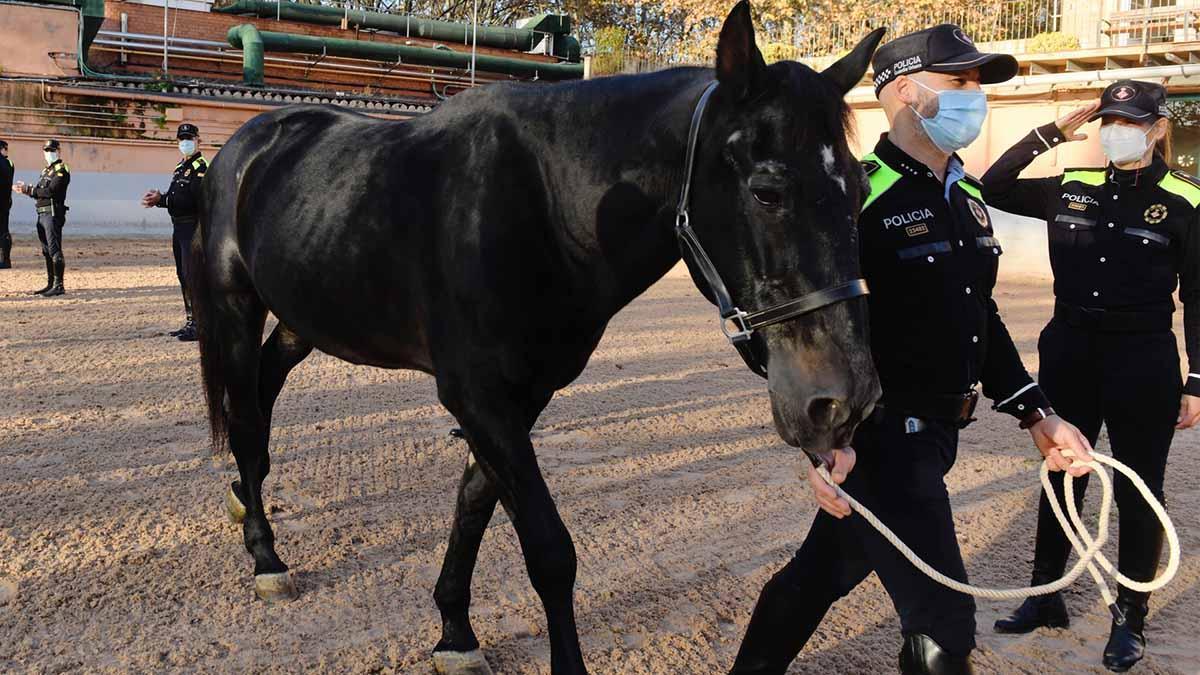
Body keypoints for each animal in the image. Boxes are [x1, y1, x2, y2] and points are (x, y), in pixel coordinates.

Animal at [194, 2, 883, 667]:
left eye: (859, 187)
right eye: (767, 191)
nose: (844, 402)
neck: (544, 205)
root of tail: (244, 148)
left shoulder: (522, 396)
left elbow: (475, 499)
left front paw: (454, 629)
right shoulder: (478, 396)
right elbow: (550, 550)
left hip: (301, 320)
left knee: (263, 389)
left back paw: (243, 496)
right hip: (235, 307)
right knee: (247, 418)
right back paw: (265, 555)